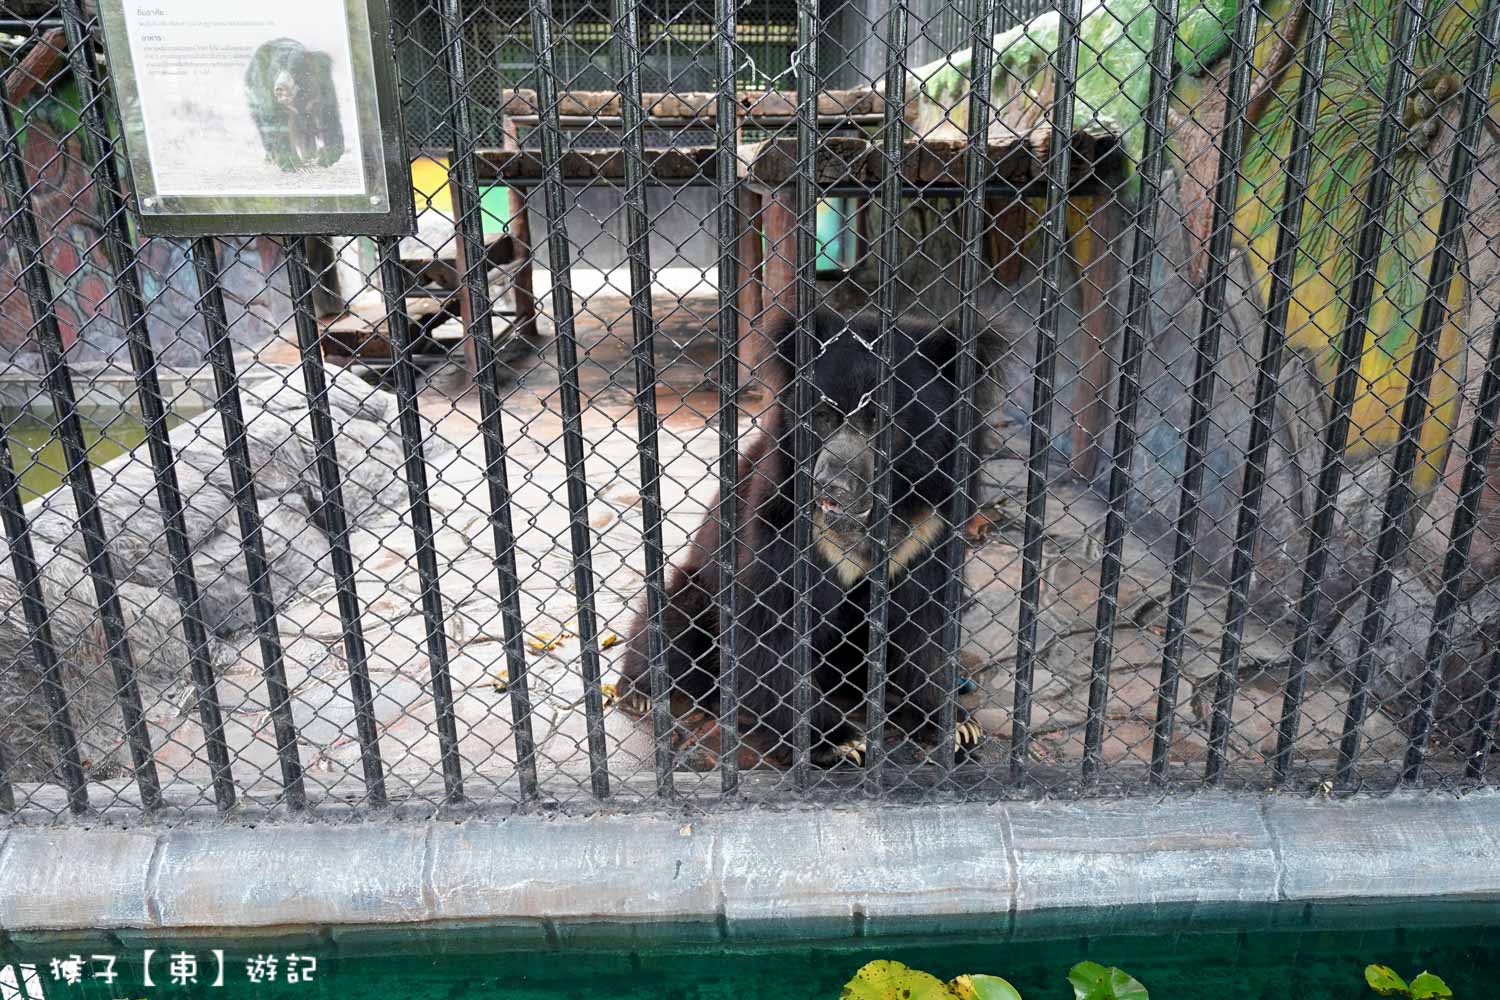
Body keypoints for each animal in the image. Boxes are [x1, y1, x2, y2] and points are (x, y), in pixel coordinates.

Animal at [609, 310, 1008, 767]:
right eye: (821, 416)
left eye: (881, 421)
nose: (830, 486)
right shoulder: (783, 525)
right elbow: (770, 628)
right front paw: (839, 742)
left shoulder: (927, 531)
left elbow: (921, 625)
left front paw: (955, 725)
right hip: (694, 586)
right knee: (672, 619)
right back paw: (642, 693)